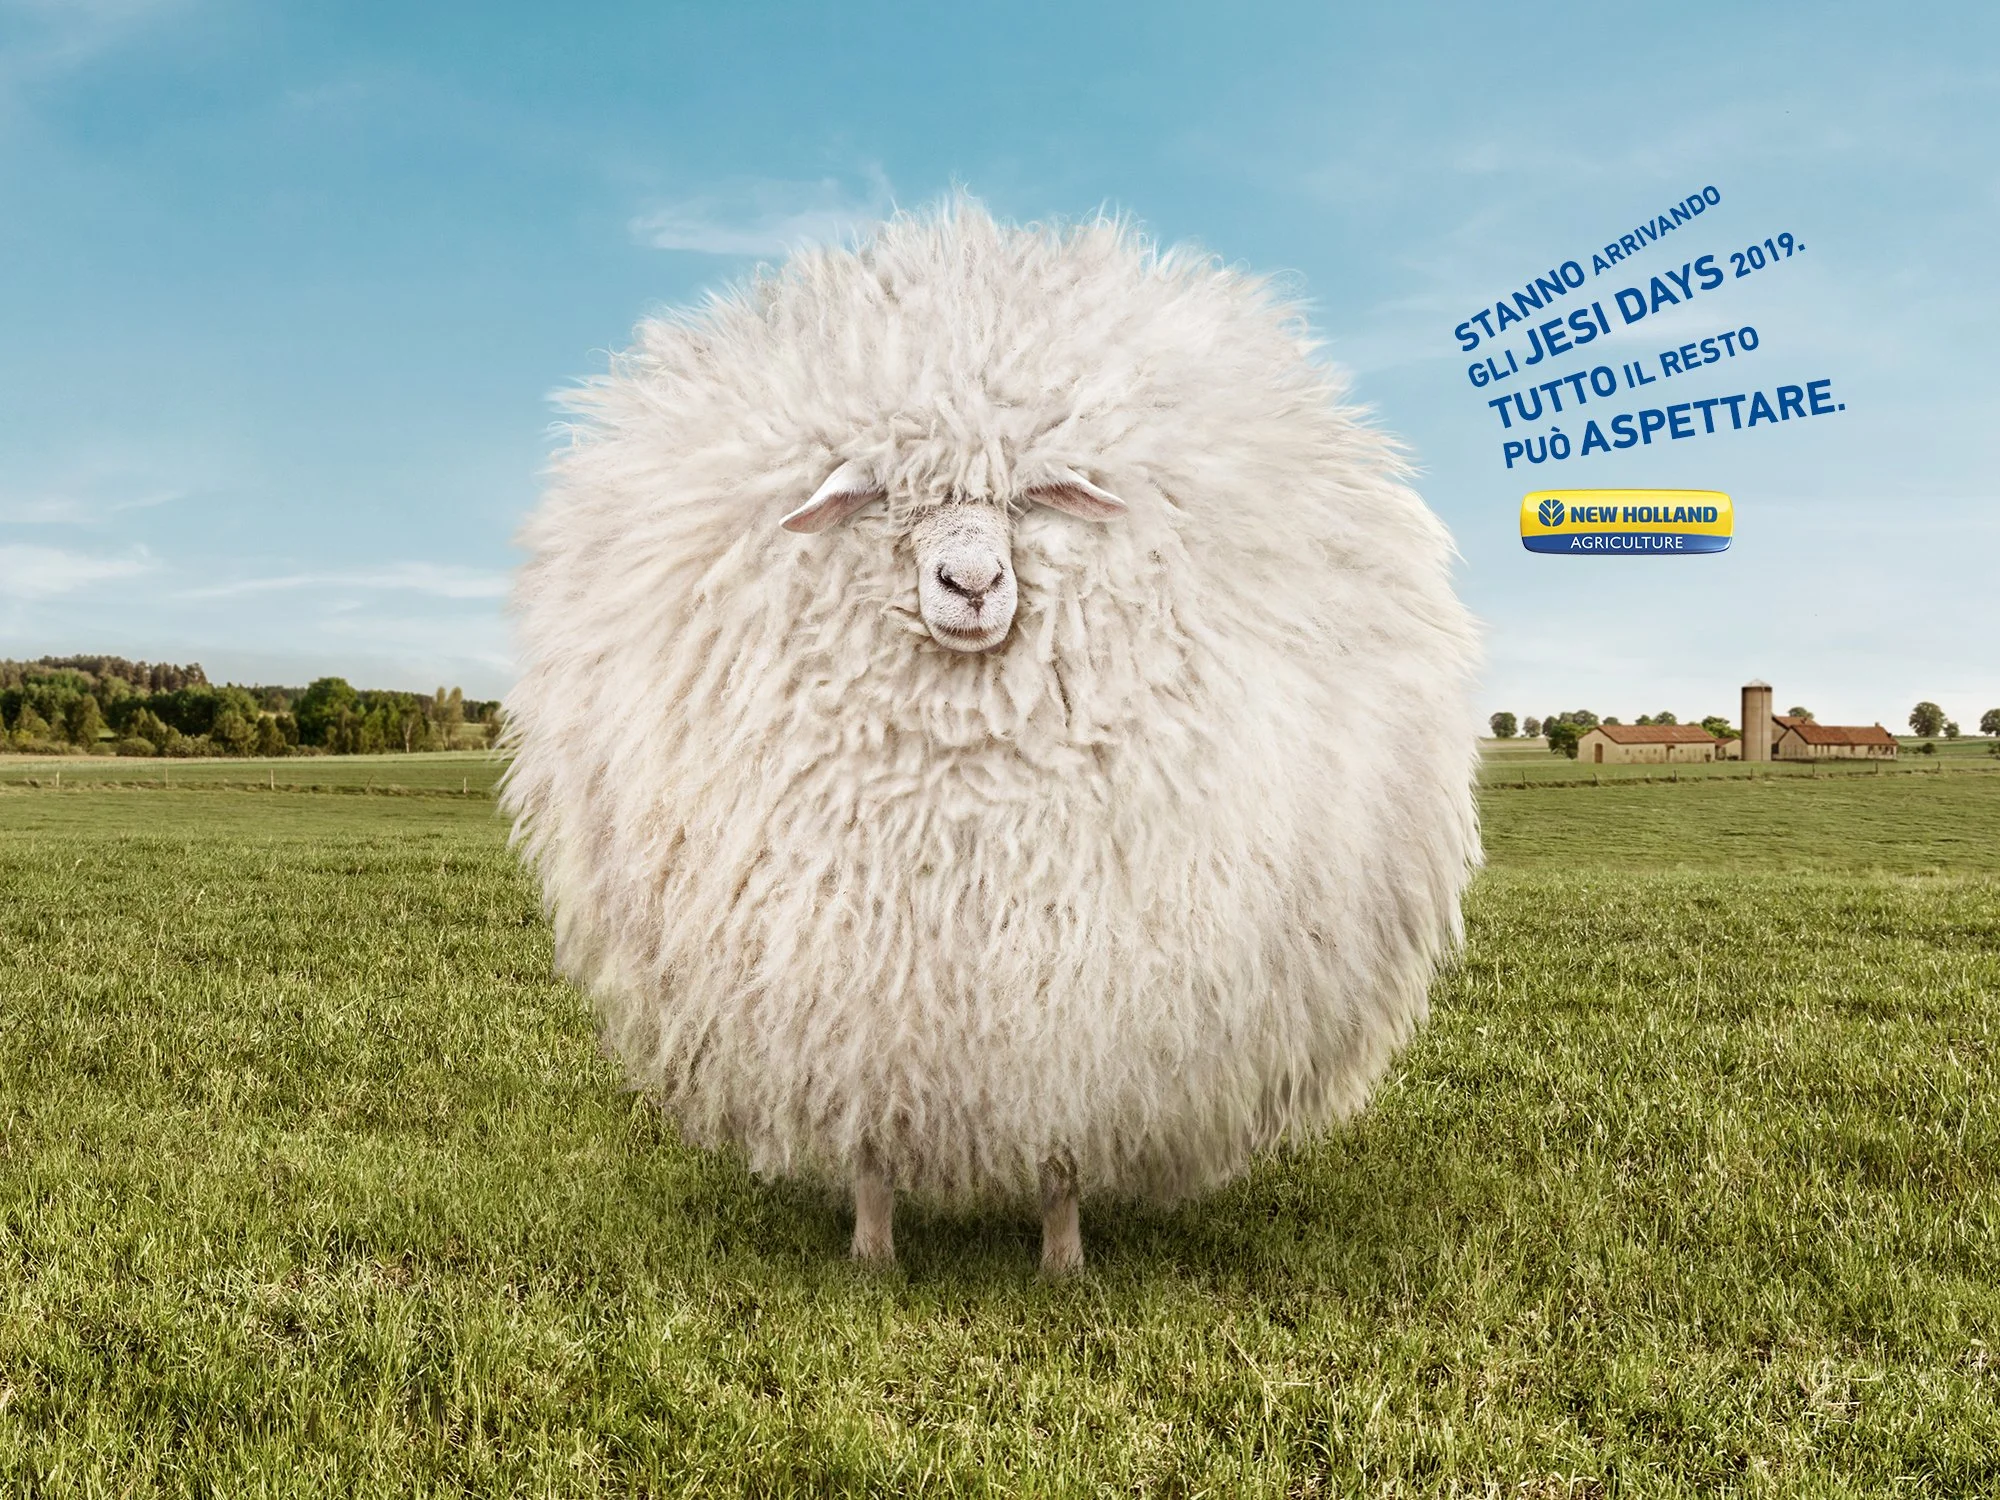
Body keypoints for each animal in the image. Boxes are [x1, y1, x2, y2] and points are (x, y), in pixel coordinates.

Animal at [502, 200, 1481, 1274]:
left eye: (1024, 500)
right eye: (888, 502)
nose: (970, 585)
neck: (965, 790)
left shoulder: (1067, 989)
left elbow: (1060, 1140)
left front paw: (1063, 1260)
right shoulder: (855, 974)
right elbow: (871, 1126)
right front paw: (873, 1251)